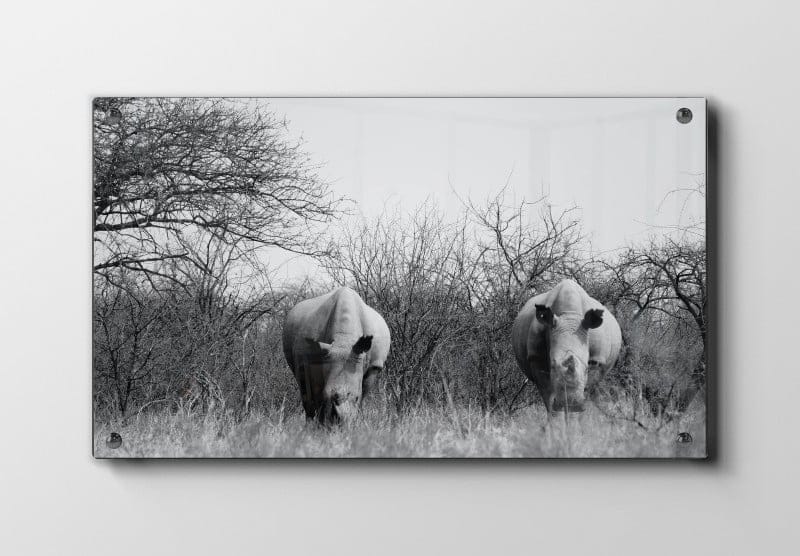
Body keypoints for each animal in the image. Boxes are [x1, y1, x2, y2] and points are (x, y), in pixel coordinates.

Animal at [282, 287, 391, 423]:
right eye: (326, 395)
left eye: (356, 397)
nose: (340, 420)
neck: (344, 339)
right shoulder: (314, 362)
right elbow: (316, 394)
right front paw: (321, 424)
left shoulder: (374, 366)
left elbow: (363, 395)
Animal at [512, 279, 622, 413]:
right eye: (552, 365)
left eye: (587, 367)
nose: (571, 403)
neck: (569, 315)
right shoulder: (537, 358)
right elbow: (549, 399)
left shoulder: (596, 360)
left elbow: (586, 389)